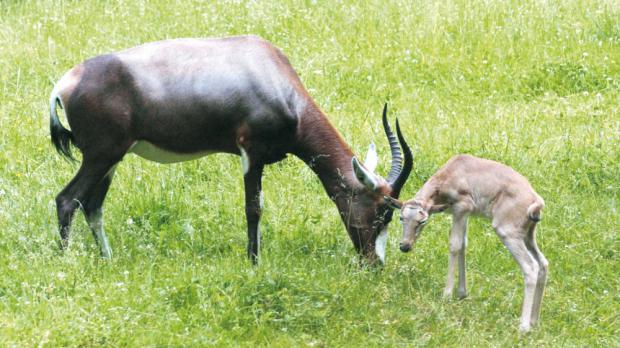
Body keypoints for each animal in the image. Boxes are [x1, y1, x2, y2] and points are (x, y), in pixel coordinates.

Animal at [48, 34, 412, 264]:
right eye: (382, 211)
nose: (374, 264)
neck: (272, 74)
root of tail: (64, 85)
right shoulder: (251, 153)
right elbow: (254, 209)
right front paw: (254, 262)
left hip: (111, 160)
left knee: (92, 205)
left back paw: (108, 260)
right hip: (101, 156)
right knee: (67, 199)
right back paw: (67, 263)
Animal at [386, 155, 548, 332]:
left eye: (422, 221)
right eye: (402, 218)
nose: (405, 246)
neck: (453, 171)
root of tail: (535, 199)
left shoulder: (461, 209)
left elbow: (454, 245)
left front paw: (446, 295)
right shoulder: (464, 215)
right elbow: (463, 245)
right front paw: (462, 293)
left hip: (508, 234)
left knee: (530, 267)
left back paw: (523, 327)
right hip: (528, 236)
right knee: (543, 264)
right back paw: (534, 321)